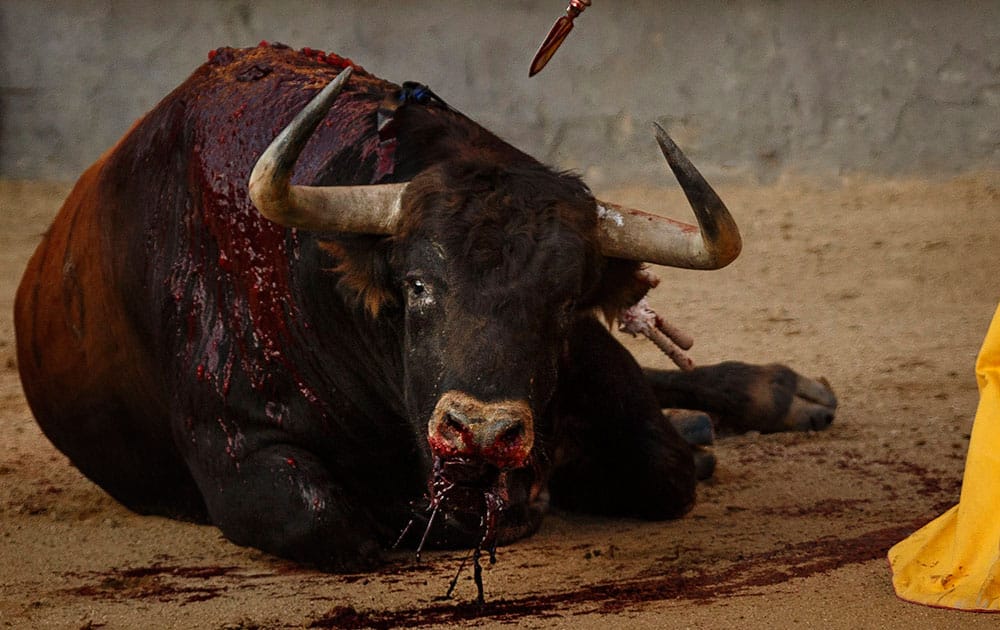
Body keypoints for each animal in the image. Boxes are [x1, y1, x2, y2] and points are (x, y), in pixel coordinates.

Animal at [13, 42, 836, 580]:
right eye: (416, 286)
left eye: (565, 303)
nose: (483, 431)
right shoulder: (234, 445)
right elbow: (324, 518)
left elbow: (660, 469)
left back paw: (778, 395)